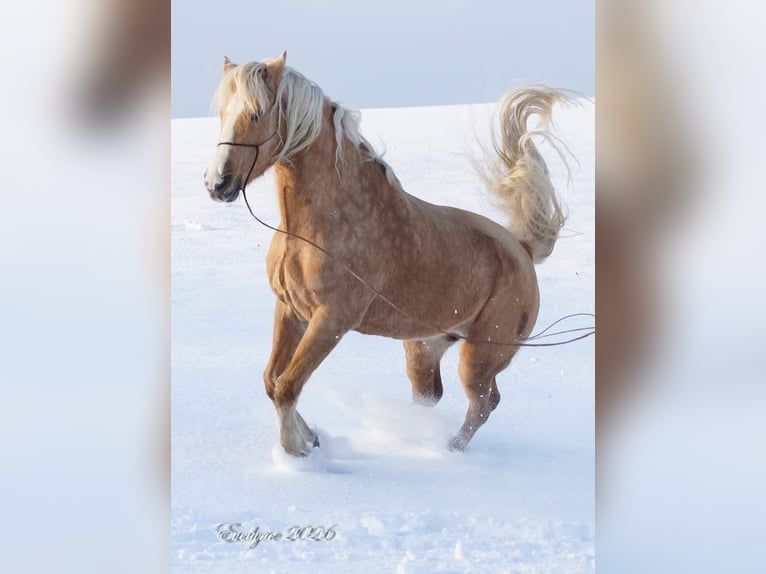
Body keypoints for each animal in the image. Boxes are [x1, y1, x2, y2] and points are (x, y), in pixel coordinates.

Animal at [203, 52, 571, 457]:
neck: (320, 224)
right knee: (431, 395)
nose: (217, 183)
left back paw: (448, 449)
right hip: (424, 346)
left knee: (483, 403)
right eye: (222, 112)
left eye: (256, 114)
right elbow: (272, 381)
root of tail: (522, 249)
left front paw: (297, 450)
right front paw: (312, 437)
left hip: (480, 356)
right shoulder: (291, 310)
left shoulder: (331, 320)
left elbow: (287, 386)